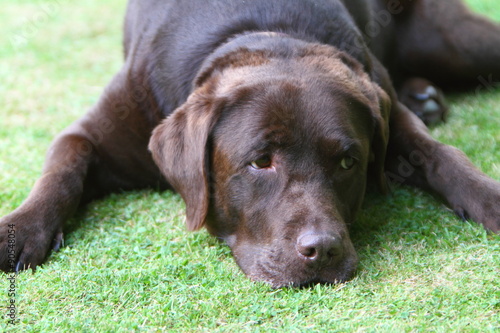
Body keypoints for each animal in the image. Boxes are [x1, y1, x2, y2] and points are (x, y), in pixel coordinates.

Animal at [0, 0, 500, 286]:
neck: (263, 34)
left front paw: (486, 195)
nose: (323, 250)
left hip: (458, 43)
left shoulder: (383, 102)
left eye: (347, 163)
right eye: (260, 162)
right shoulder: (96, 129)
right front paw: (18, 230)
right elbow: (62, 171)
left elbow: (439, 154)